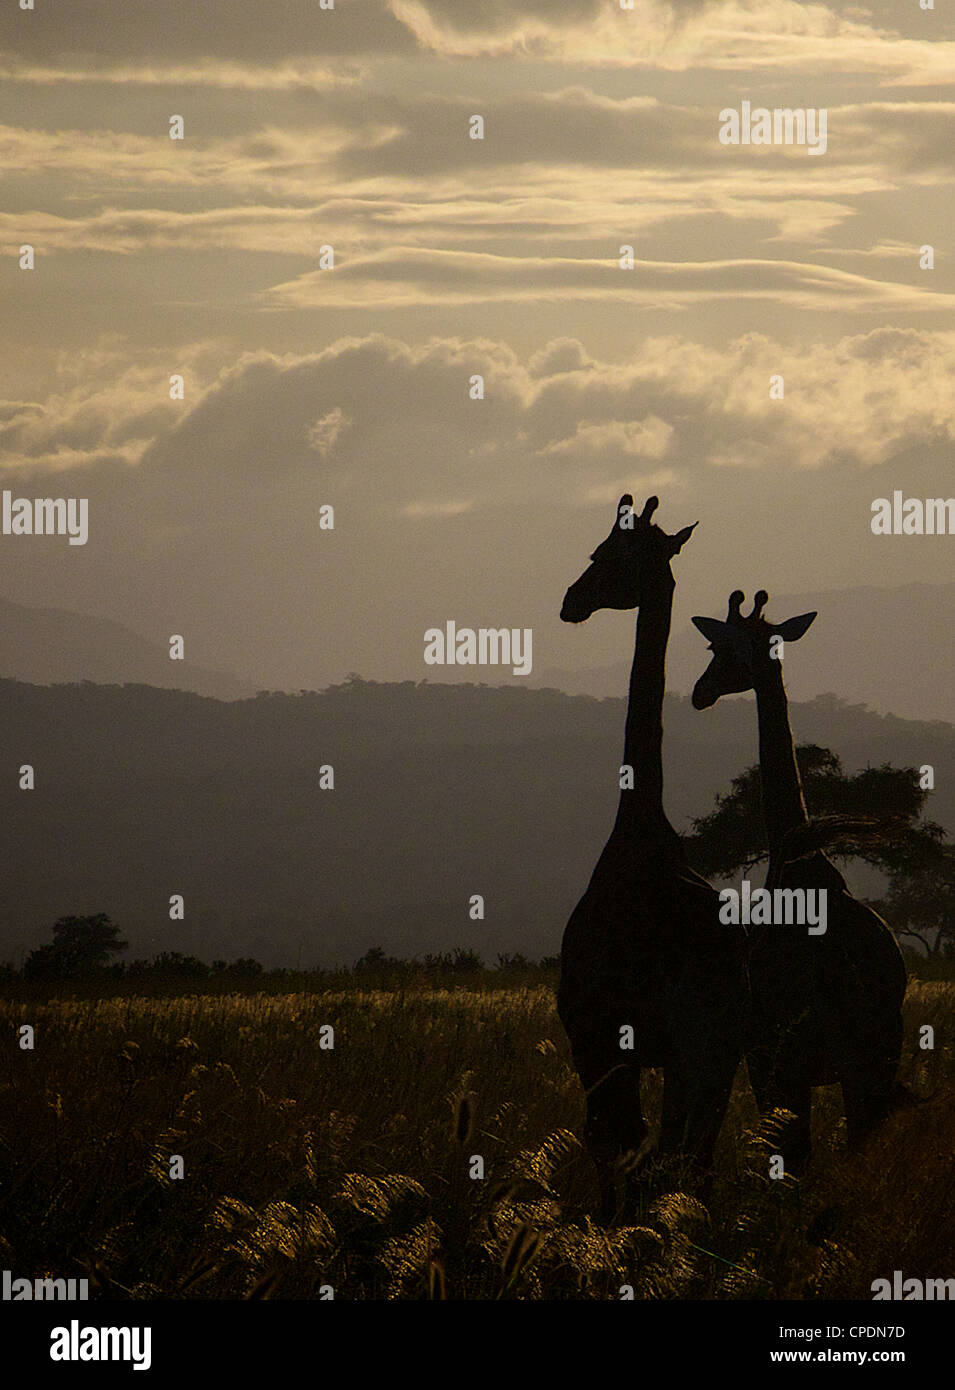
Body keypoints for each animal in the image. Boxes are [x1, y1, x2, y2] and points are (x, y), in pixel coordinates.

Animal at [556, 497, 750, 1217]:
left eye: (607, 554)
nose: (570, 602)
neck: (639, 829)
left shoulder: (594, 1038)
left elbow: (610, 1146)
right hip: (717, 1053)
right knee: (692, 1161)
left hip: (684, 1048)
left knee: (657, 1153)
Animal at [692, 586, 906, 1173]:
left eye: (724, 650)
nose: (700, 692)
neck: (799, 862)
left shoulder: (766, 1059)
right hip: (875, 1060)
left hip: (794, 1061)